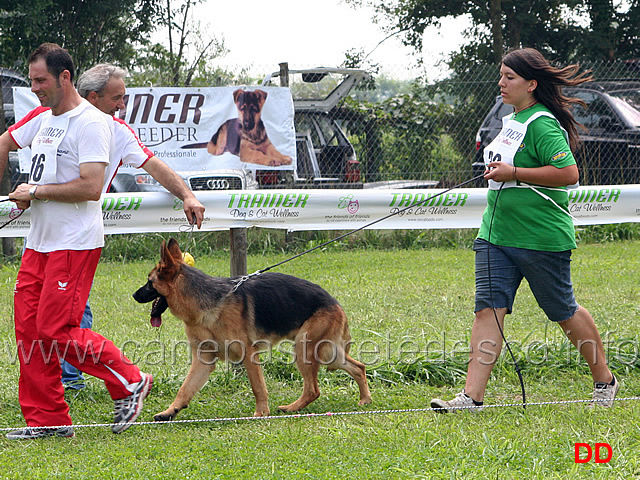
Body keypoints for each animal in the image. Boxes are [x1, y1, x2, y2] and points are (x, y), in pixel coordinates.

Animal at [134, 240, 370, 420]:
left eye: (149, 282)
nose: (134, 295)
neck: (206, 302)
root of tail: (335, 303)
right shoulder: (203, 360)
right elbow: (185, 389)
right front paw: (169, 412)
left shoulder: (248, 354)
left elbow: (258, 387)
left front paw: (261, 414)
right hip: (329, 353)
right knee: (358, 367)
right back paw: (365, 400)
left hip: (305, 348)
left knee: (314, 389)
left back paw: (292, 408)